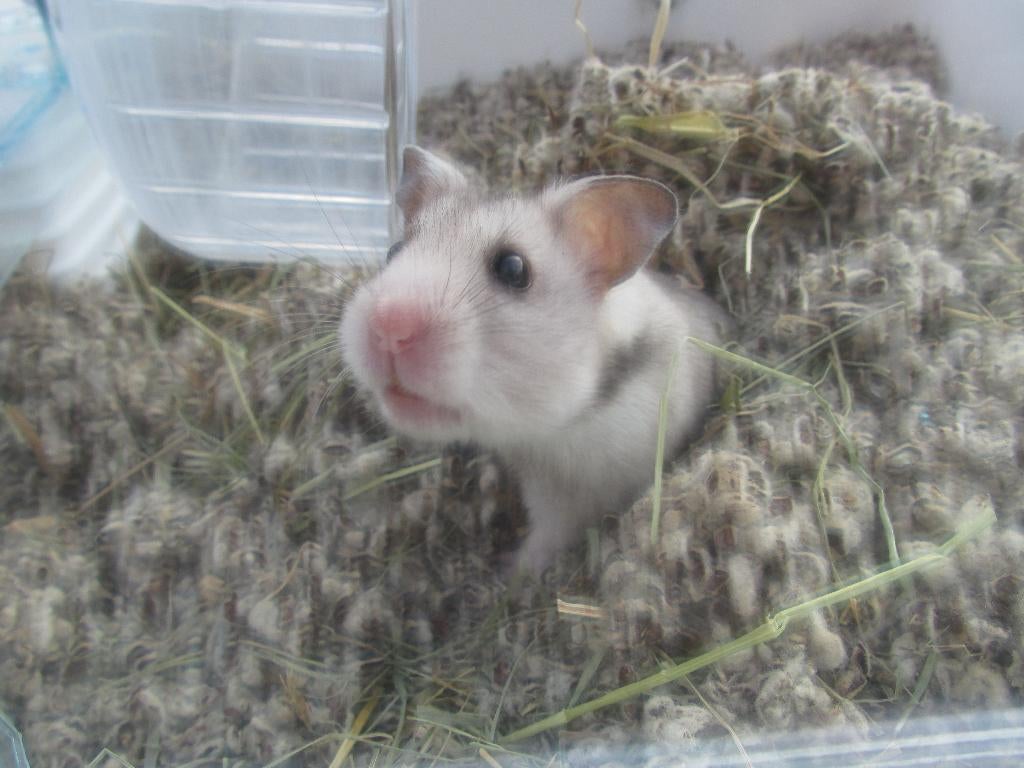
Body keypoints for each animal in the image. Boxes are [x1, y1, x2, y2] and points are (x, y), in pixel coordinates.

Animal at [340, 146, 728, 572]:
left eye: (513, 269)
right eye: (393, 251)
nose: (388, 328)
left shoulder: (577, 496)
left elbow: (545, 542)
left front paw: (509, 572)